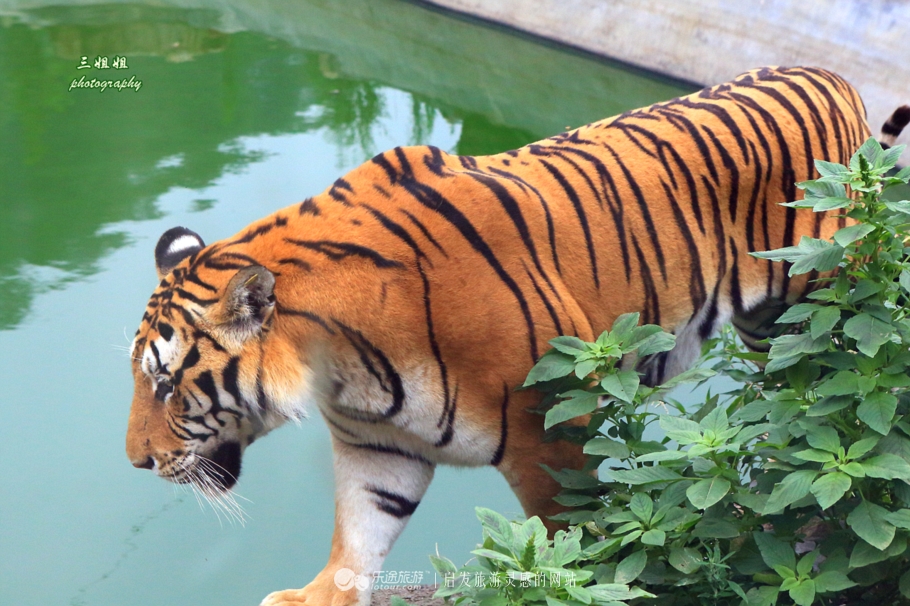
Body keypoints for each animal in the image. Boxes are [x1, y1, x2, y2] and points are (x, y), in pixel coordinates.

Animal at [123, 67, 910, 606]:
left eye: (165, 382)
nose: (137, 462)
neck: (340, 365)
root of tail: (832, 76)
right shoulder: (378, 446)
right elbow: (357, 534)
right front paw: (319, 598)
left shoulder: (552, 431)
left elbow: (573, 542)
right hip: (772, 327)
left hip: (833, 299)